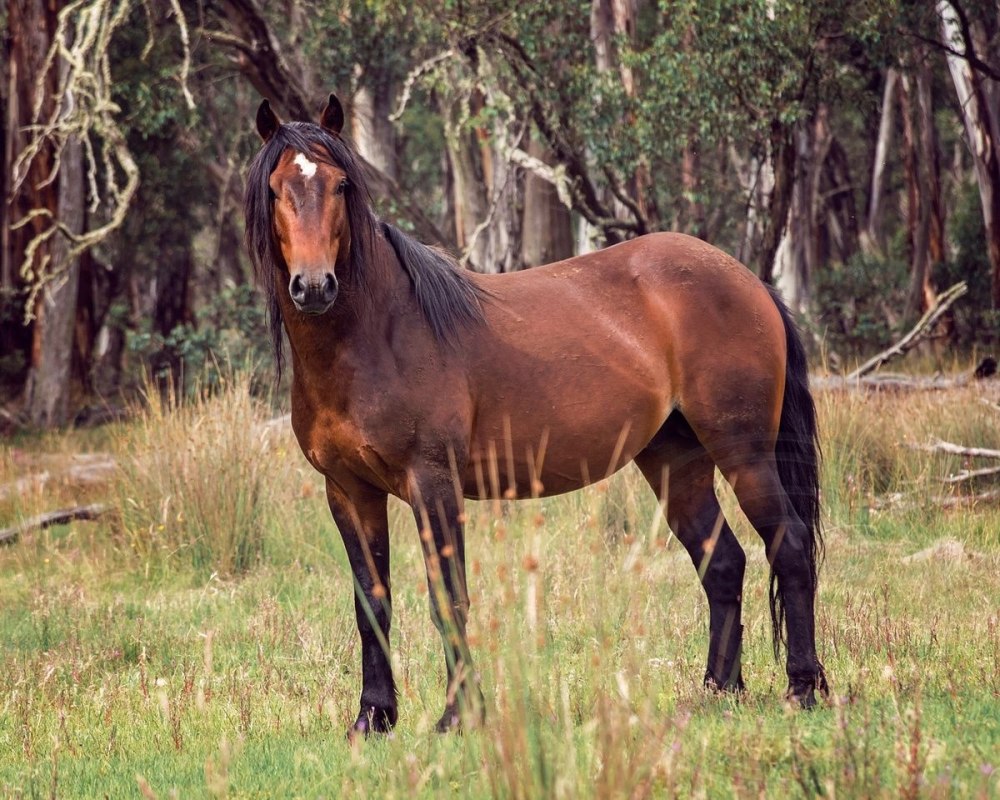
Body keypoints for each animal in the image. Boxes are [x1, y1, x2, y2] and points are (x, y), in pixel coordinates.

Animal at [242, 94, 828, 736]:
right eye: (276, 189)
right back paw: (718, 690)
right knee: (722, 562)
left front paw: (459, 716)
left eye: (341, 184)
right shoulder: (348, 491)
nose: (314, 286)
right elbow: (372, 603)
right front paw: (373, 717)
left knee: (789, 545)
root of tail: (749, 281)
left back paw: (803, 687)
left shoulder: (433, 482)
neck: (377, 335)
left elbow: (448, 596)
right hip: (677, 460)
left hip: (743, 451)